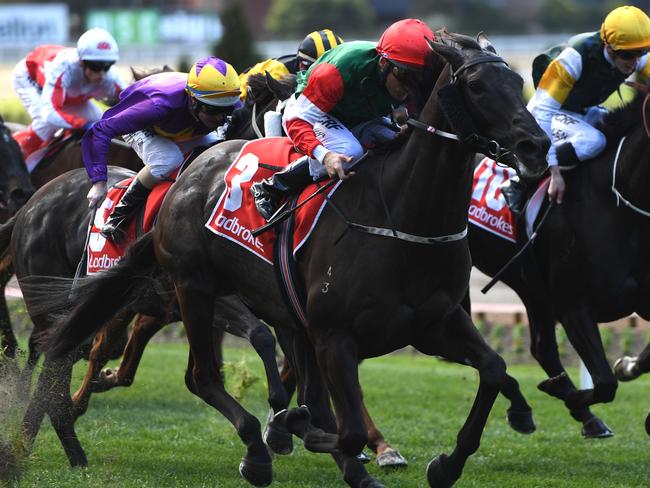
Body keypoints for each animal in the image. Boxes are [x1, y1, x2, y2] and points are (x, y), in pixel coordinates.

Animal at [41, 32, 548, 486]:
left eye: (517, 80)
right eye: (477, 86)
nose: (536, 146)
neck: (403, 216)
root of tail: (187, 177)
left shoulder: (434, 323)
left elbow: (494, 369)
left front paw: (448, 461)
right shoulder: (334, 336)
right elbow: (345, 427)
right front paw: (291, 427)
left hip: (271, 308)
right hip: (195, 288)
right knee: (200, 376)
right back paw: (256, 449)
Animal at [466, 87, 650, 438]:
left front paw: (628, 366)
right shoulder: (573, 305)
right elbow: (605, 383)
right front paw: (565, 393)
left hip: (532, 288)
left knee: (541, 347)